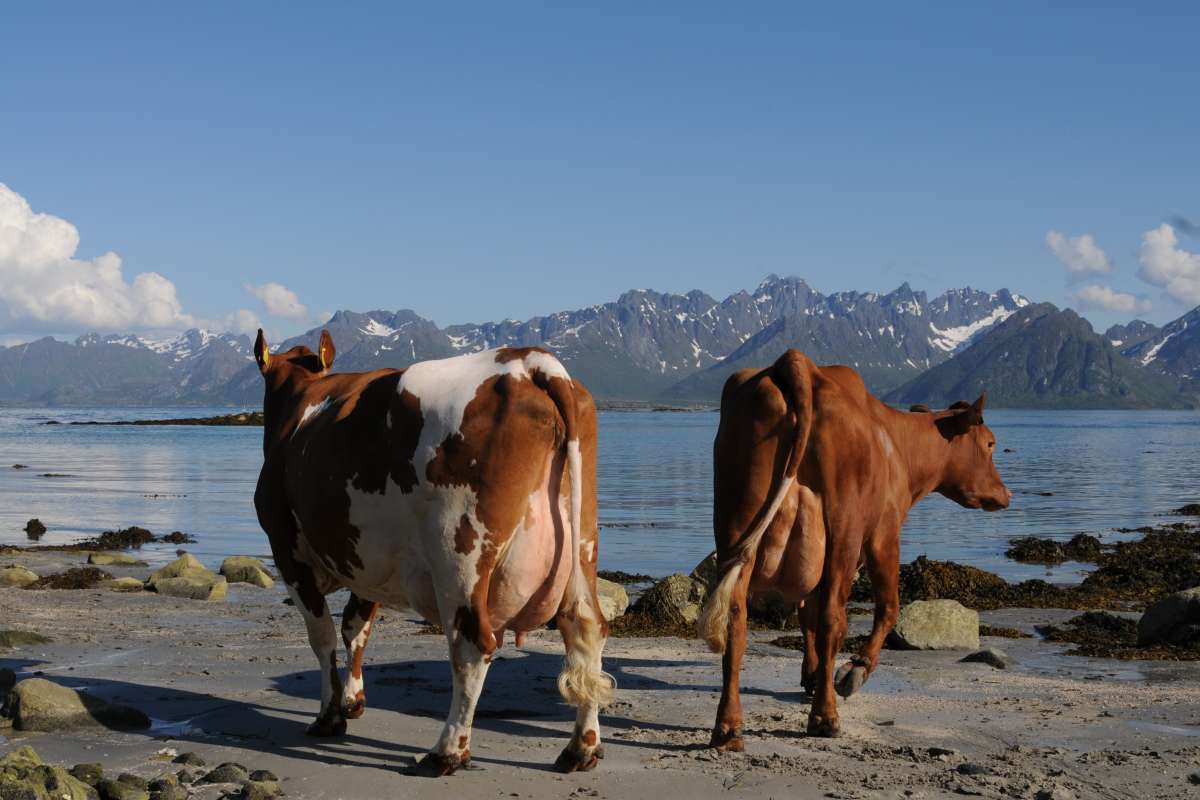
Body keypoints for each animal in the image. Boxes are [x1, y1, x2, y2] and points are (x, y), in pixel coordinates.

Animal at [250, 331, 609, 777]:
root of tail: (528, 363)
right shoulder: (367, 561)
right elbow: (356, 628)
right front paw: (352, 701)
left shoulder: (287, 548)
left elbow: (323, 635)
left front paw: (329, 715)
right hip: (582, 541)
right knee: (586, 630)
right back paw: (581, 747)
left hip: (458, 552)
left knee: (472, 644)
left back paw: (446, 751)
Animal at [700, 347, 1008, 748]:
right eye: (990, 443)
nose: (1005, 493)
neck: (897, 447)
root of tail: (796, 362)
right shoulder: (884, 533)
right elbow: (888, 607)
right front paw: (853, 671)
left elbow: (806, 615)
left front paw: (813, 675)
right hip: (842, 529)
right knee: (834, 616)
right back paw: (825, 717)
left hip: (734, 521)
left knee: (736, 619)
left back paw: (728, 727)